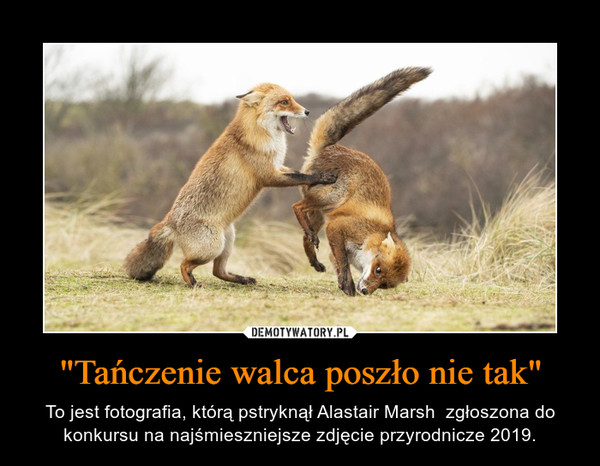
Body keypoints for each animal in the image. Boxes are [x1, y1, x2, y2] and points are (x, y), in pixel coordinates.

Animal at [123, 83, 336, 288]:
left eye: (292, 99)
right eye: (284, 102)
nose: (307, 111)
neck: (261, 133)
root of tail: (169, 221)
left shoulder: (278, 167)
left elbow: (298, 172)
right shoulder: (269, 176)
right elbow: (302, 176)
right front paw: (323, 176)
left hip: (228, 241)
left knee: (218, 271)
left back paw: (243, 280)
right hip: (211, 248)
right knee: (184, 265)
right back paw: (193, 283)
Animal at [292, 66, 428, 294]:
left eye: (384, 285)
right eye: (378, 270)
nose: (365, 291)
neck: (371, 236)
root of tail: (331, 147)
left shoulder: (336, 241)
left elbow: (338, 264)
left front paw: (343, 284)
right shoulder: (336, 228)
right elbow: (343, 264)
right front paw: (348, 286)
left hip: (319, 214)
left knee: (305, 237)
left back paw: (314, 260)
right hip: (330, 198)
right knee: (297, 207)